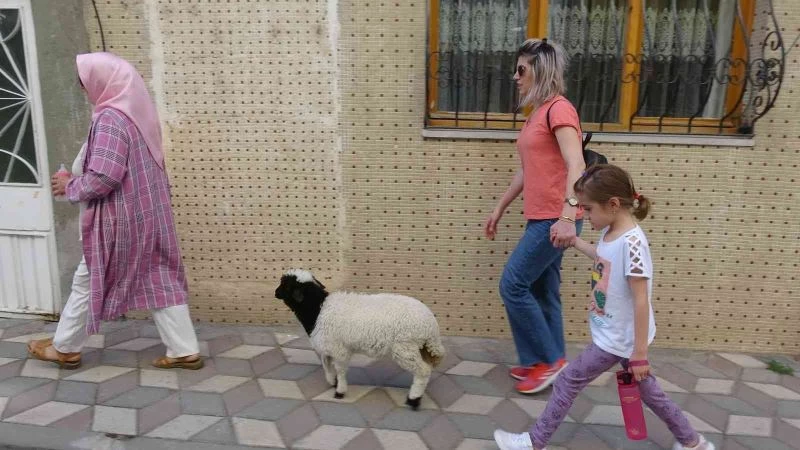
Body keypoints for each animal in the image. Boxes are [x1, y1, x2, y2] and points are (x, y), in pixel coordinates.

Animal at [274, 269, 446, 409]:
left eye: (286, 286)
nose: (275, 292)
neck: (318, 310)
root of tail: (431, 325)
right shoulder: (329, 346)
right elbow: (326, 364)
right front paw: (332, 381)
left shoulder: (339, 350)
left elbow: (340, 370)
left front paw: (340, 391)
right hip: (419, 348)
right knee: (427, 368)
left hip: (405, 348)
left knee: (423, 371)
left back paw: (413, 399)